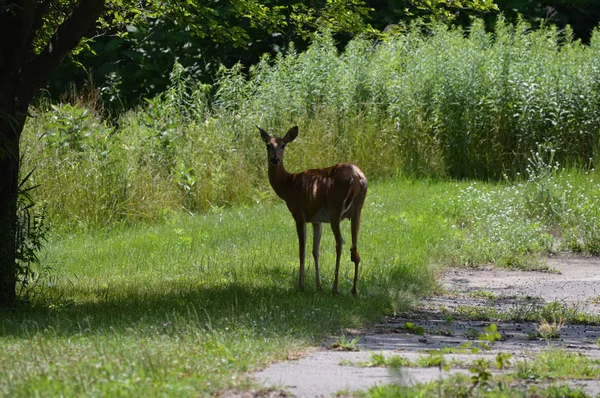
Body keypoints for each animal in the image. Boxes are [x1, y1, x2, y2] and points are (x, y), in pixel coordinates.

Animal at [256, 125, 368, 296]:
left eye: (283, 145)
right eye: (268, 145)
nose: (275, 160)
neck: (288, 185)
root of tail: (357, 178)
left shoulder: (298, 213)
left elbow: (301, 251)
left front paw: (301, 286)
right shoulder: (317, 220)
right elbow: (315, 251)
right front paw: (318, 286)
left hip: (335, 208)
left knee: (340, 242)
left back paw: (335, 288)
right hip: (357, 211)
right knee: (354, 249)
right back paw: (354, 290)